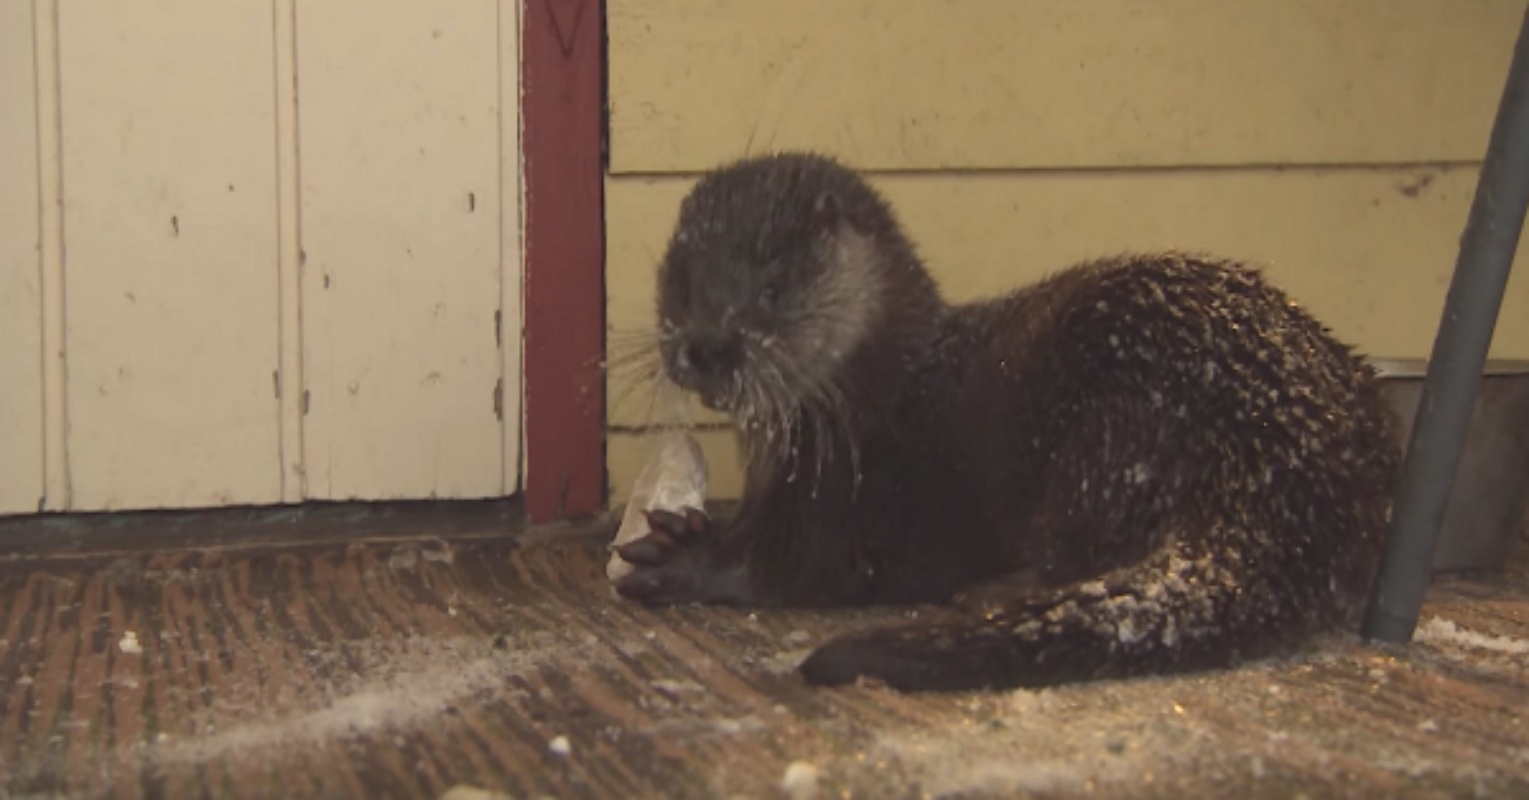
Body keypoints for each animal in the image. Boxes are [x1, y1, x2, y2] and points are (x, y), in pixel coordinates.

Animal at [608, 153, 1400, 691]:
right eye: (682, 282)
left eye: (771, 289)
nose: (706, 346)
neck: (875, 388)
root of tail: (1286, 464)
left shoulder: (852, 492)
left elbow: (795, 566)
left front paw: (683, 555)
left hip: (1111, 426)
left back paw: (992, 593)